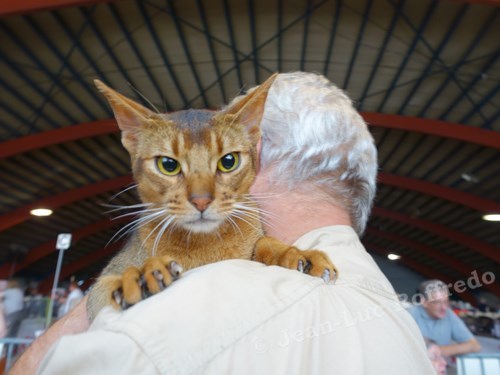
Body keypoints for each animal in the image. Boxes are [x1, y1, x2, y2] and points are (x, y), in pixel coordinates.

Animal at [87, 75, 336, 322]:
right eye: (168, 165)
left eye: (228, 161)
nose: (201, 201)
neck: (207, 246)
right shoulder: (98, 292)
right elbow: (104, 284)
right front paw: (140, 274)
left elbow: (264, 241)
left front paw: (298, 256)